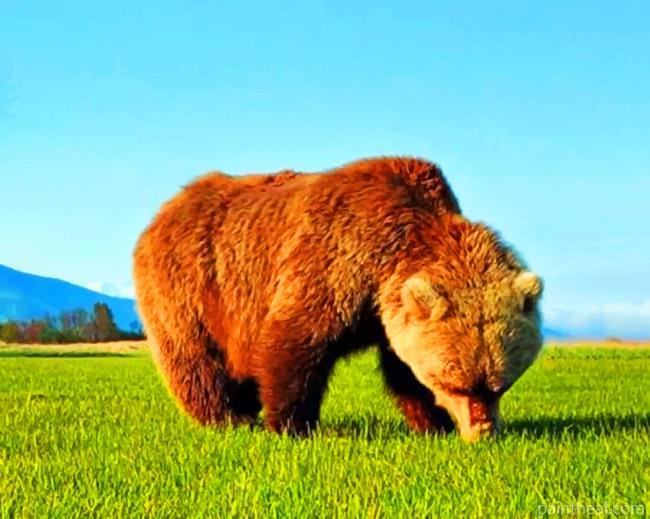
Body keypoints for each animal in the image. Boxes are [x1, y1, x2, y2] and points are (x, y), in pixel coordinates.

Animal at [133, 156, 543, 442]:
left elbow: (402, 370)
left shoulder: (387, 312)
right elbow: (295, 342)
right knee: (196, 360)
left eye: (500, 384)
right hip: (190, 285)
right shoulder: (335, 261)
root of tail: (167, 207)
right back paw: (229, 418)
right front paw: (294, 426)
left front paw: (433, 423)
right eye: (456, 382)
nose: (483, 431)